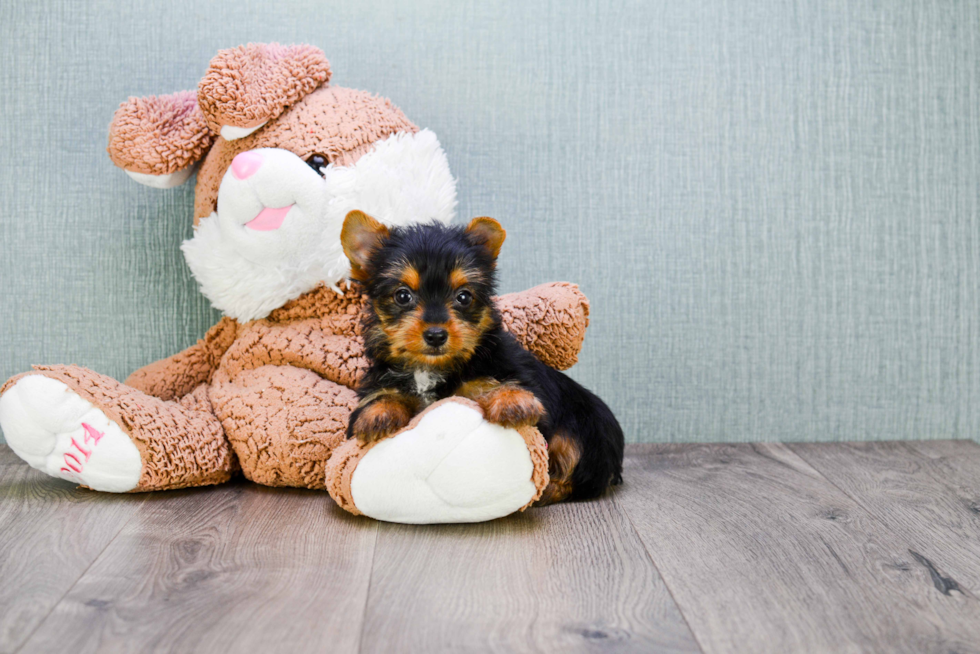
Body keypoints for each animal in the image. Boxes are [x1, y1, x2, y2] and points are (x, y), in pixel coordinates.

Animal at [340, 211, 624, 508]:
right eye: (402, 295)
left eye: (464, 296)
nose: (436, 334)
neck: (431, 369)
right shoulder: (381, 380)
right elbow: (381, 396)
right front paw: (378, 413)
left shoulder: (508, 372)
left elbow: (492, 384)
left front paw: (512, 400)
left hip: (585, 431)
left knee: (577, 471)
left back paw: (548, 490)